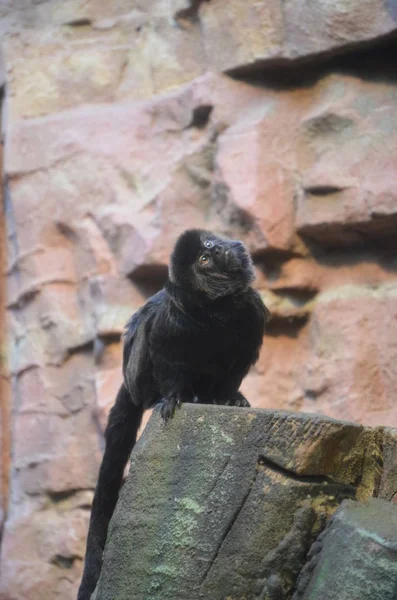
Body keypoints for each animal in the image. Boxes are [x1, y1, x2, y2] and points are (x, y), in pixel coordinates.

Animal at [76, 227, 270, 596]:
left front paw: (232, 397)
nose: (218, 249)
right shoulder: (172, 321)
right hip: (137, 374)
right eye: (204, 259)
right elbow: (168, 358)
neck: (217, 308)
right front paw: (173, 397)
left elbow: (235, 365)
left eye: (208, 246)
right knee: (146, 336)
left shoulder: (251, 312)